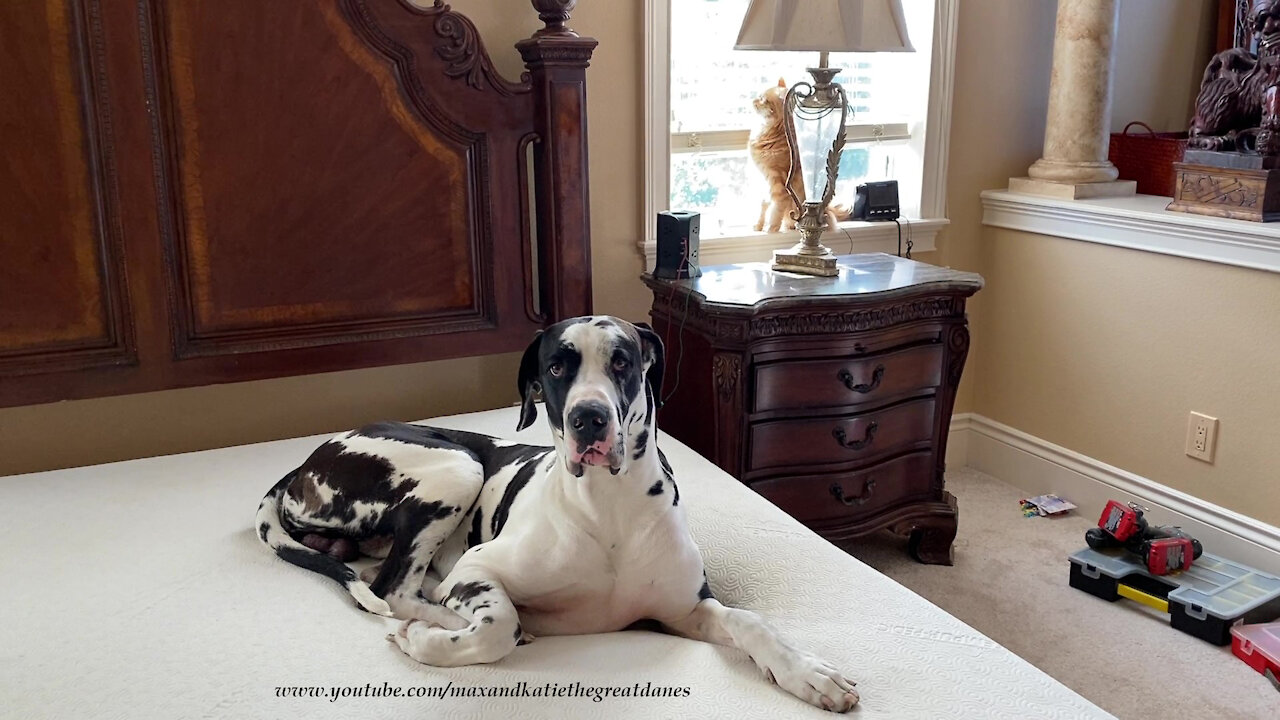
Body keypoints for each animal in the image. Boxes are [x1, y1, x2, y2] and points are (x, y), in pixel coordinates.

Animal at [254, 315, 860, 712]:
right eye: (555, 367)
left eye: (623, 361)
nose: (589, 419)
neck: (608, 510)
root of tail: (306, 460)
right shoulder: (478, 569)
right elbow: (496, 627)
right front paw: (430, 640)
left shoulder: (686, 610)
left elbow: (750, 619)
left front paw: (808, 672)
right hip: (458, 466)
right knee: (396, 588)